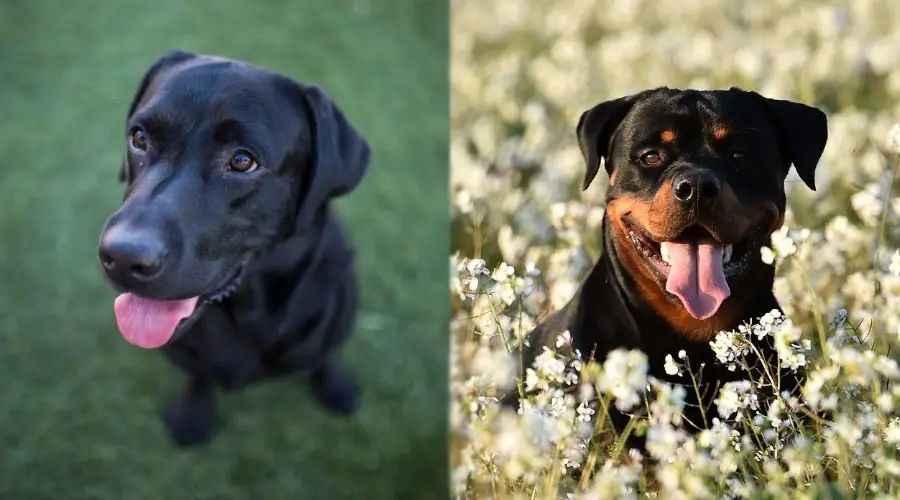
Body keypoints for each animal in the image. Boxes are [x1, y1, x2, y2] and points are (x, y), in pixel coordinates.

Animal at [96, 49, 370, 446]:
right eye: (140, 137)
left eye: (242, 161)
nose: (121, 257)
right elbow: (199, 375)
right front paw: (191, 415)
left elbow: (326, 356)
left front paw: (336, 386)